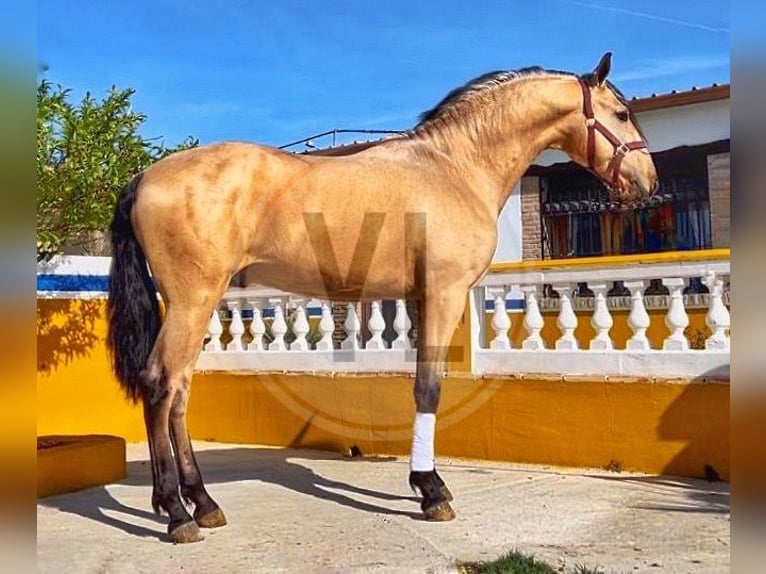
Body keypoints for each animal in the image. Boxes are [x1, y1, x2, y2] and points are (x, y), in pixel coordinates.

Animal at [108, 53, 660, 544]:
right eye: (620, 113)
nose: (648, 181)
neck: (454, 168)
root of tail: (143, 177)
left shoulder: (419, 298)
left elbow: (419, 384)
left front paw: (424, 484)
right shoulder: (444, 293)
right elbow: (429, 389)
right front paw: (432, 490)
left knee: (179, 392)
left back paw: (203, 503)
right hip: (192, 301)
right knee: (160, 386)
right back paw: (177, 513)